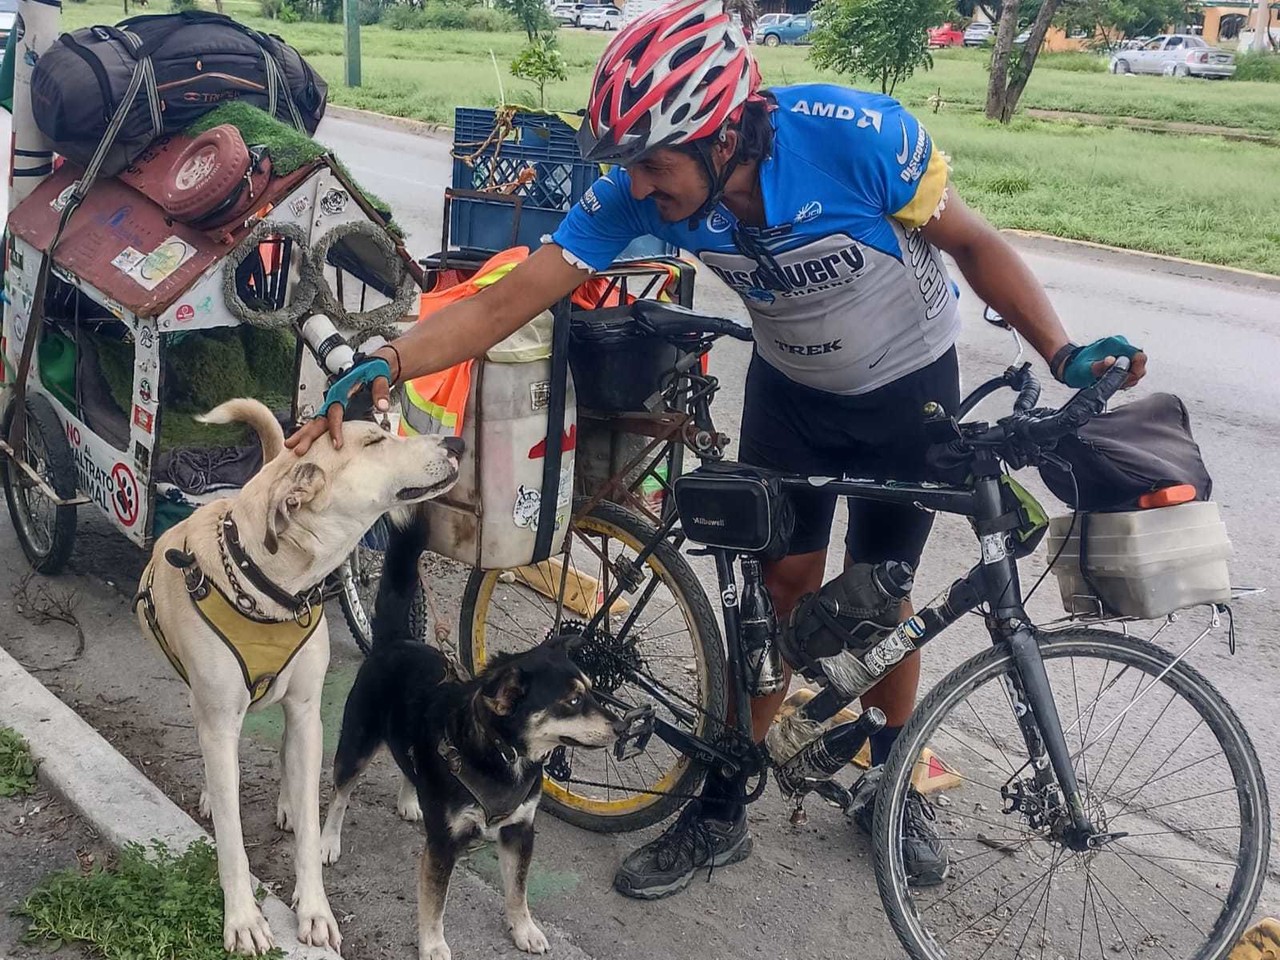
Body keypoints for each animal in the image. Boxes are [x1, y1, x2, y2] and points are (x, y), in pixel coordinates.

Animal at [133, 399, 460, 957]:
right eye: (375, 441)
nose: (457, 443)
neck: (269, 583)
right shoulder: (218, 720)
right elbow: (231, 837)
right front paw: (244, 918)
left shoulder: (309, 712)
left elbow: (310, 827)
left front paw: (313, 910)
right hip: (201, 701)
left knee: (288, 747)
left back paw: (286, 799)